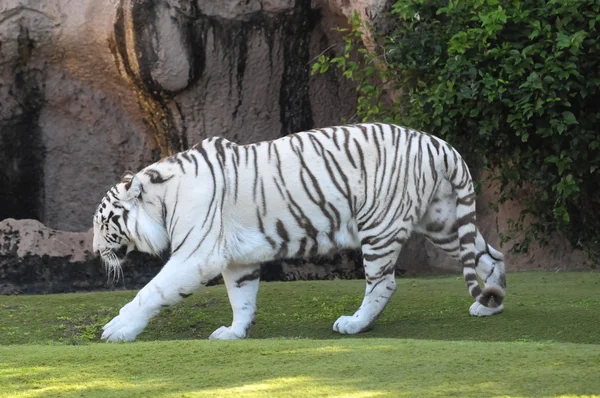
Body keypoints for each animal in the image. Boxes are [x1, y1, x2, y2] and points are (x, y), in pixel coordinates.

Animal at [94, 122, 506, 342]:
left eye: (102, 223)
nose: (96, 251)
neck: (161, 200)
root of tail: (440, 144)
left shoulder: (197, 255)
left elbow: (151, 292)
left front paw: (117, 329)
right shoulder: (237, 260)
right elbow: (242, 298)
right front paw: (235, 332)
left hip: (380, 226)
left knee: (384, 283)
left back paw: (354, 324)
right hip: (443, 222)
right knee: (491, 256)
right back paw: (491, 305)